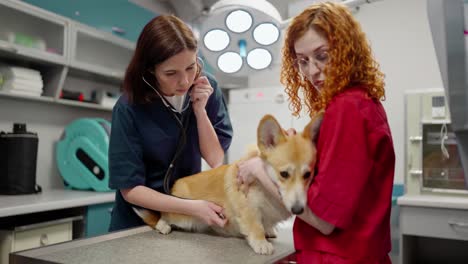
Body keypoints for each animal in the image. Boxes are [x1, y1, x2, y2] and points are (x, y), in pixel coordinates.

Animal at [132, 113, 322, 254]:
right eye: (284, 174)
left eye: (308, 174)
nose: (298, 210)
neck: (265, 188)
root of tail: (174, 186)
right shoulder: (248, 208)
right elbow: (255, 226)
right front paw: (261, 242)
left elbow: (266, 223)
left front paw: (268, 231)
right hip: (182, 214)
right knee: (162, 215)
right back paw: (162, 225)